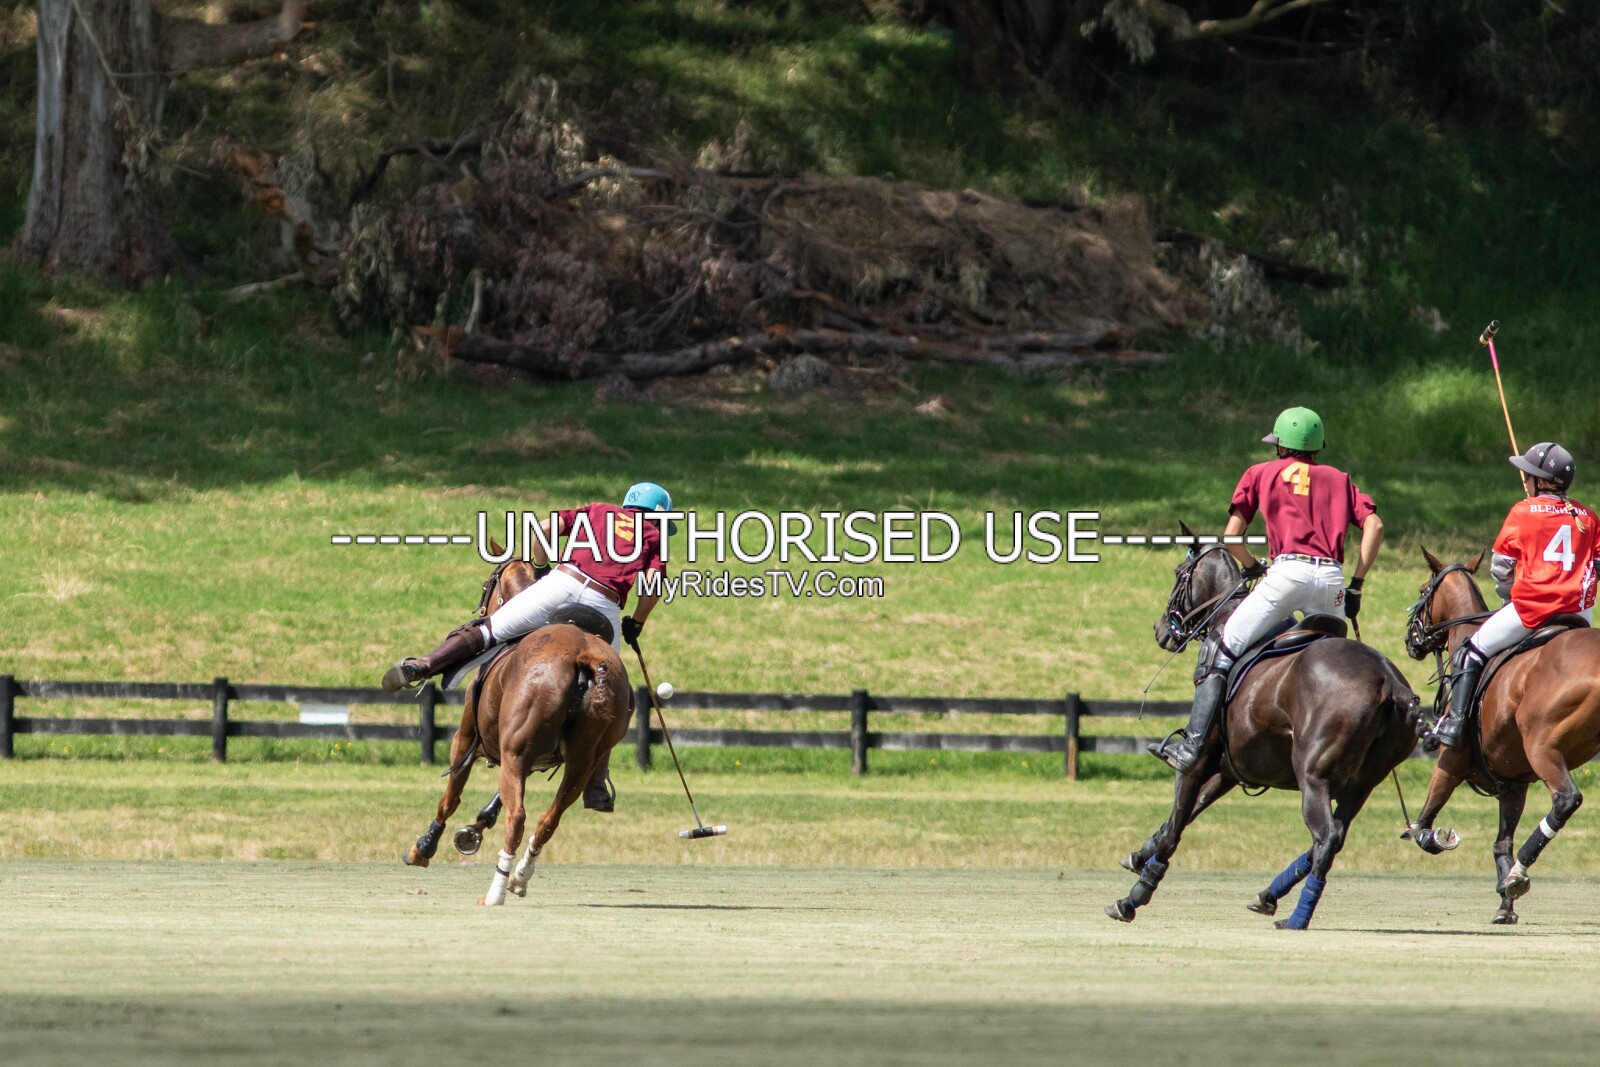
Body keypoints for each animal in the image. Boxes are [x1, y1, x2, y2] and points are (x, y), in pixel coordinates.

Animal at [401, 554, 632, 906]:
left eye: (487, 585)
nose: (481, 608)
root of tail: (585, 656)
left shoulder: (468, 737)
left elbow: (450, 796)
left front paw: (423, 847)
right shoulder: (528, 756)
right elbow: (495, 803)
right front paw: (472, 831)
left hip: (515, 752)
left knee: (518, 817)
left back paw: (496, 891)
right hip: (580, 760)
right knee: (549, 818)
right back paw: (520, 877)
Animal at [1110, 535, 1423, 929]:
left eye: (1179, 573)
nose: (1160, 629)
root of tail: (1388, 683)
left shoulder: (1199, 760)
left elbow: (1177, 821)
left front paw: (1134, 897)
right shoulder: (1230, 768)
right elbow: (1179, 818)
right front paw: (1140, 855)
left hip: (1314, 775)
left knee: (1325, 838)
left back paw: (1297, 917)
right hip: (1363, 783)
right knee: (1332, 838)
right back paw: (1270, 895)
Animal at [1403, 548, 1600, 924]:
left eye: (1422, 590)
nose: (1411, 641)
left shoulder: (1452, 759)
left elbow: (1428, 812)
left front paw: (1432, 836)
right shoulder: (1513, 781)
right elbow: (1500, 843)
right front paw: (1504, 905)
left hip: (1542, 747)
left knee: (1566, 799)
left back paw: (1518, 873)